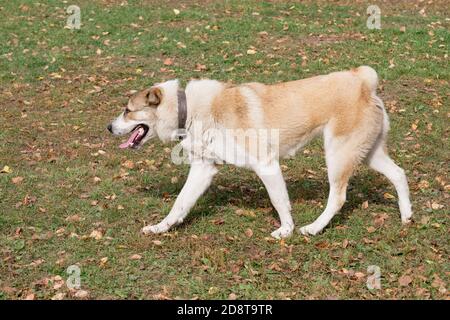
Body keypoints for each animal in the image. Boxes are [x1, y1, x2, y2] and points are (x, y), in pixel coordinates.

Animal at [108, 66, 412, 239]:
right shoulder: (203, 169)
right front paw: (160, 228)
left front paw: (286, 231)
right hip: (368, 154)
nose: (109, 127)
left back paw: (313, 228)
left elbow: (280, 202)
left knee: (338, 198)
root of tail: (363, 79)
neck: (190, 109)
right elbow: (180, 204)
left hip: (337, 156)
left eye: (127, 110)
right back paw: (407, 216)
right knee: (399, 174)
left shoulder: (266, 165)